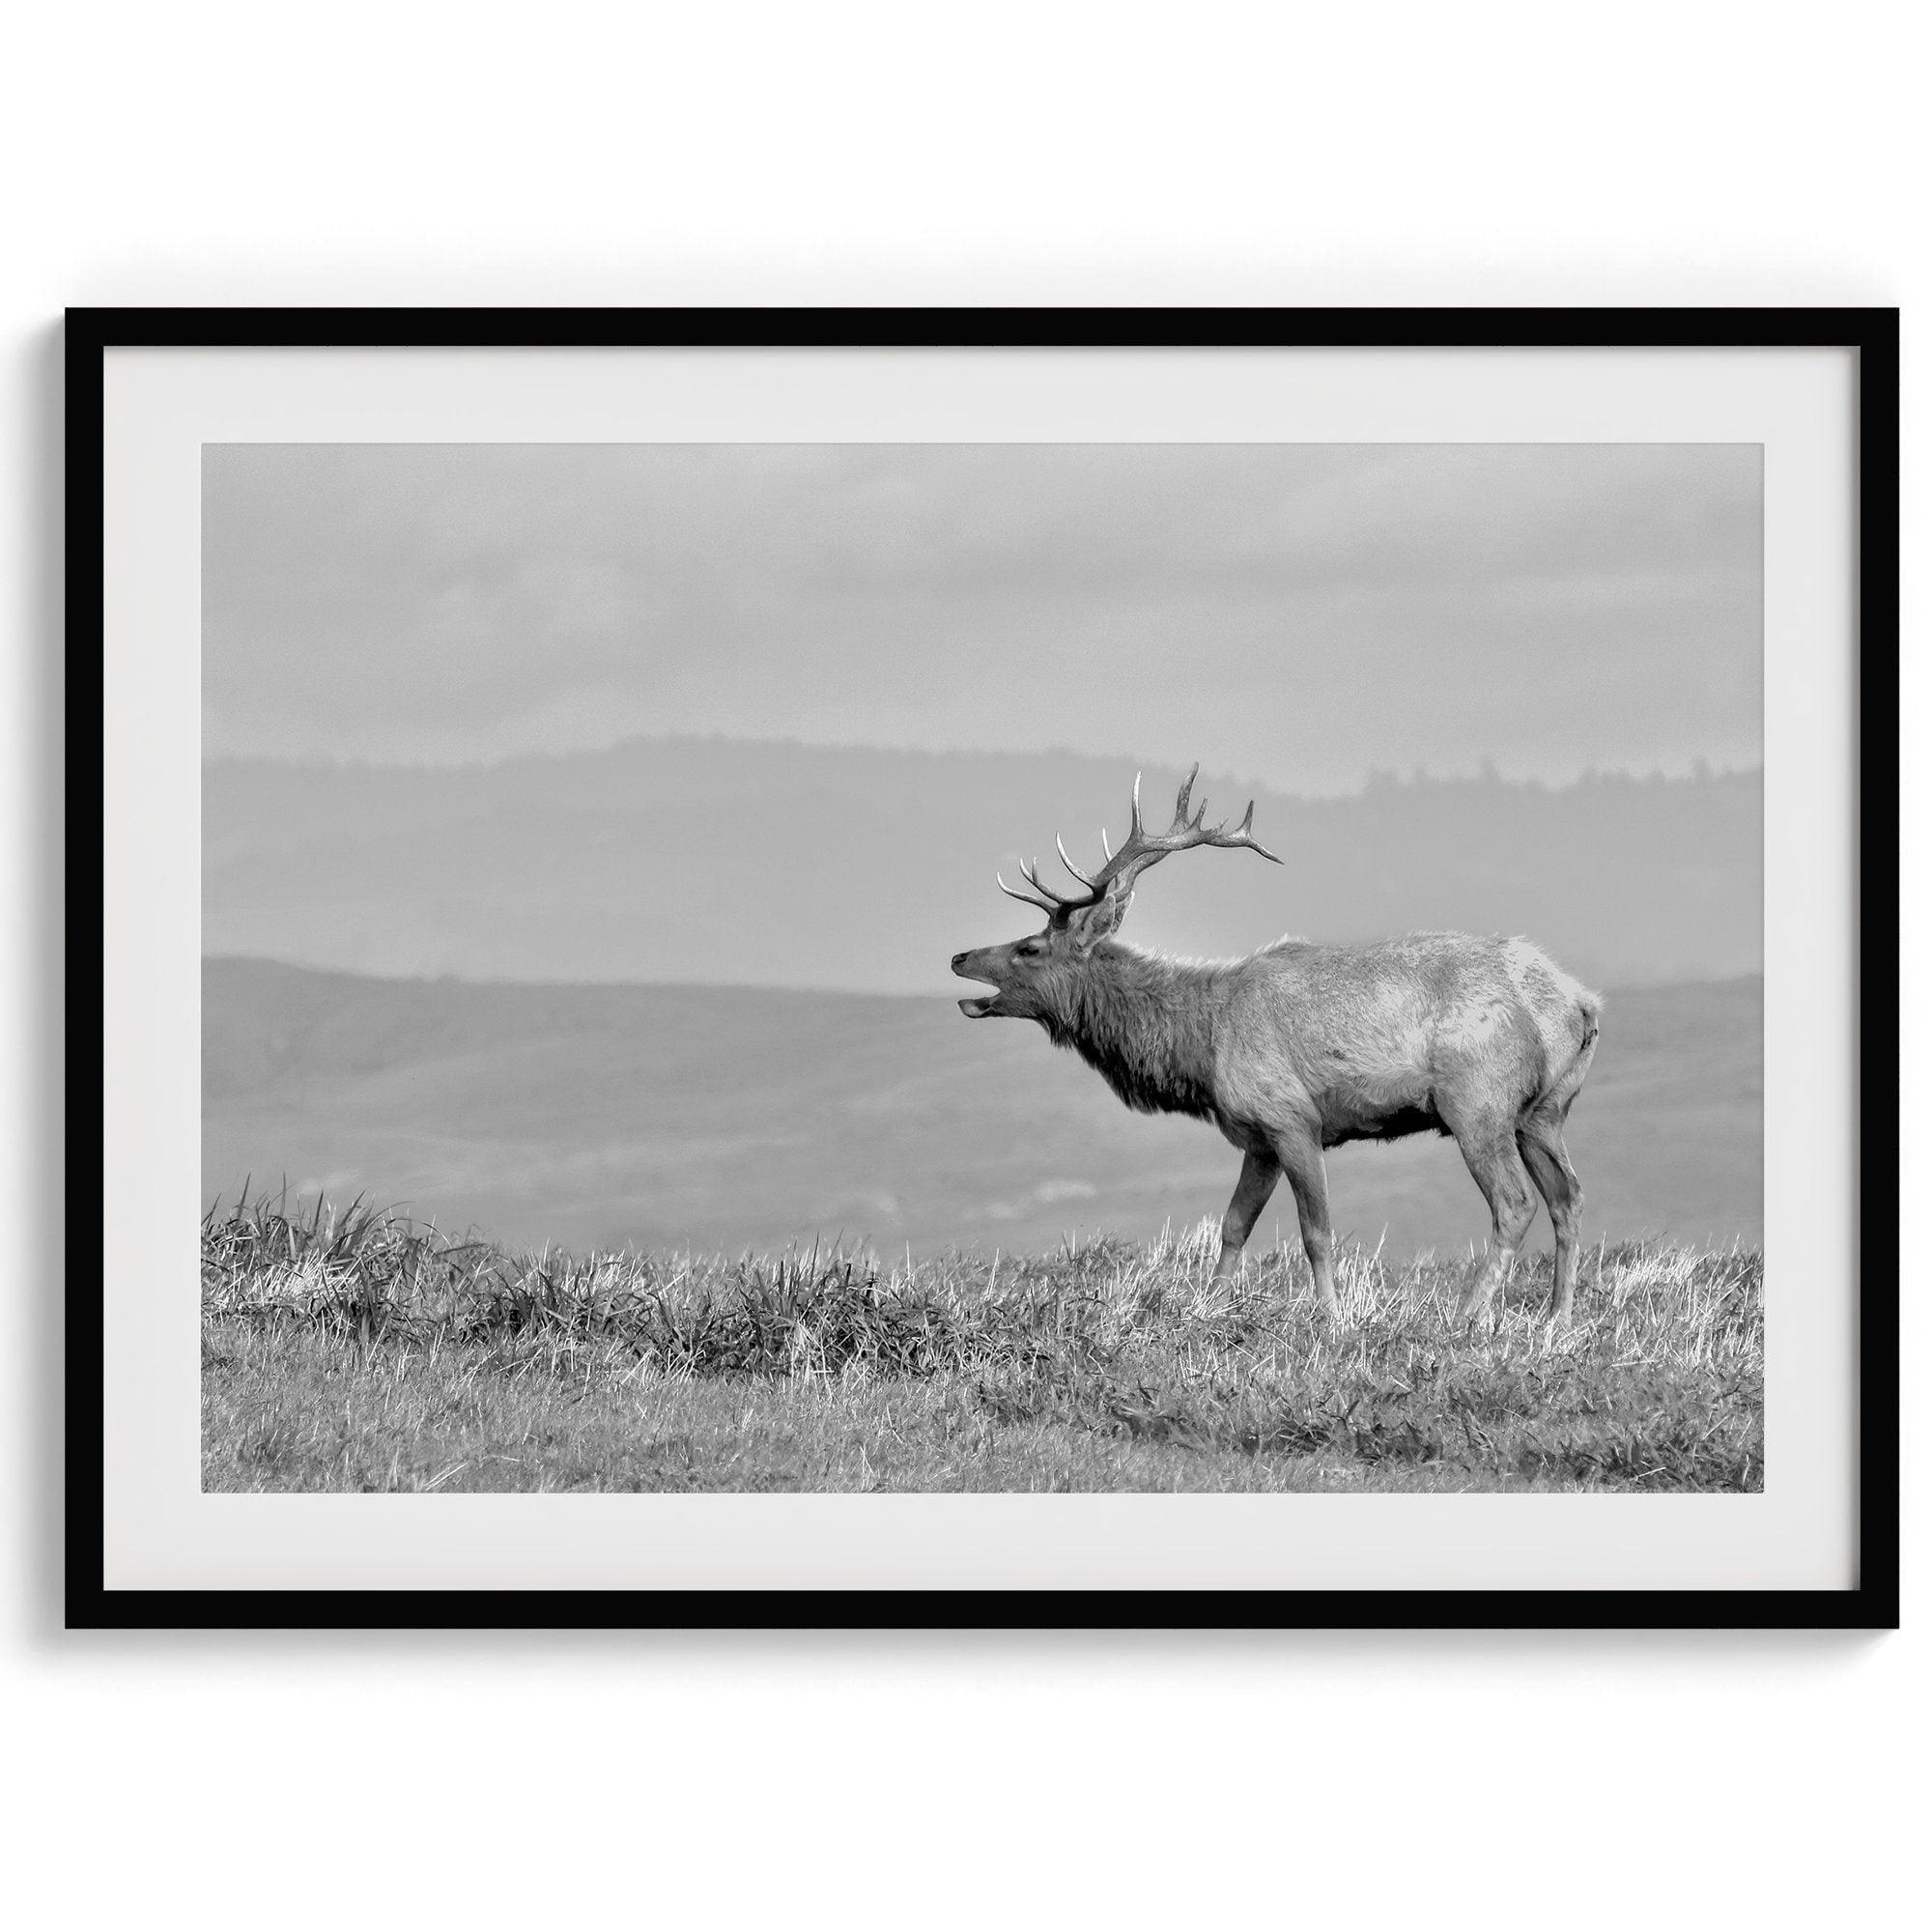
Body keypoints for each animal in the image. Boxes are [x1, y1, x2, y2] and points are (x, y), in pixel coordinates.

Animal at [951, 761, 1600, 1321]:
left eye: (1030, 947)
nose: (959, 956)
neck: (1201, 1046)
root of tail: (1581, 1004)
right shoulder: (1256, 1137)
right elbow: (1233, 1226)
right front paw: (1208, 1308)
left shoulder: (1293, 1119)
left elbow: (1317, 1232)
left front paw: (1331, 1318)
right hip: (1544, 1111)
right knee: (1568, 1198)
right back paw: (1559, 1318)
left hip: (1477, 1104)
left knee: (1515, 1202)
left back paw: (1466, 1317)